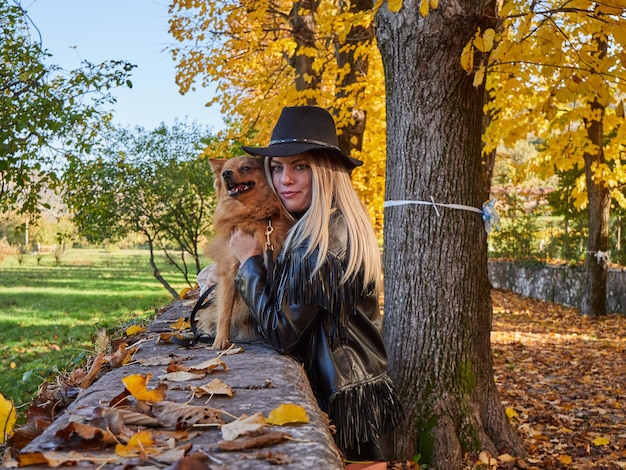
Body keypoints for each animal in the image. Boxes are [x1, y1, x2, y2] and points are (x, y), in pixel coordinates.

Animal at [197, 155, 290, 348]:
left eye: (245, 168)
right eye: (225, 171)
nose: (226, 173)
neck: (252, 214)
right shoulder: (229, 272)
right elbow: (225, 310)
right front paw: (221, 340)